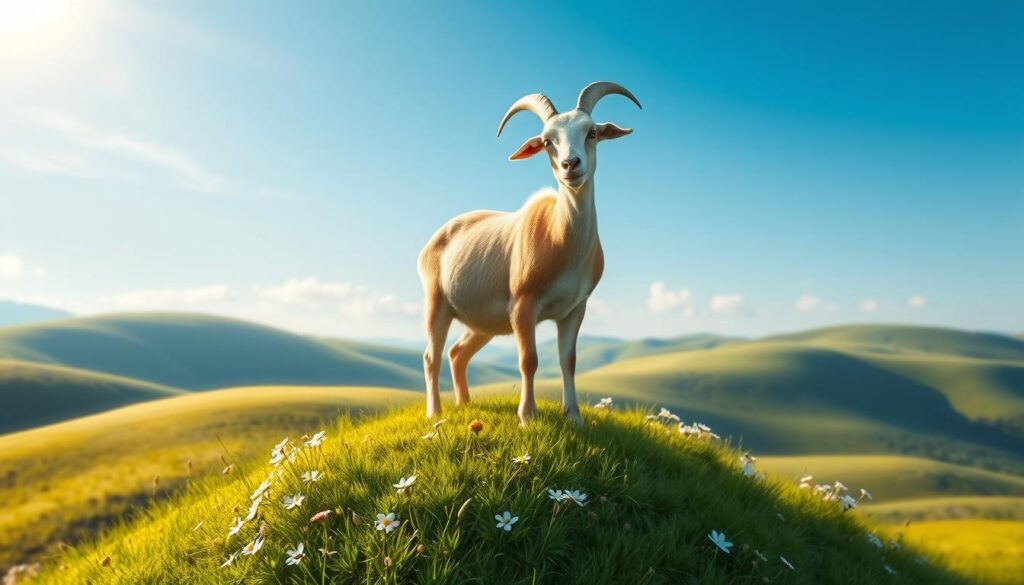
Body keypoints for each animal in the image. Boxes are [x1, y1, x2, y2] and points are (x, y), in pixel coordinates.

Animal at [417, 82, 641, 424]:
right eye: (547, 141)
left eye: (591, 132)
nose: (570, 165)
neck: (561, 238)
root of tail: (433, 240)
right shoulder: (523, 305)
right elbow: (529, 359)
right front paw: (527, 417)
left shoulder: (575, 308)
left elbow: (568, 360)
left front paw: (574, 416)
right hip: (437, 302)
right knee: (432, 355)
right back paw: (435, 412)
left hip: (484, 321)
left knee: (458, 353)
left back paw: (465, 404)